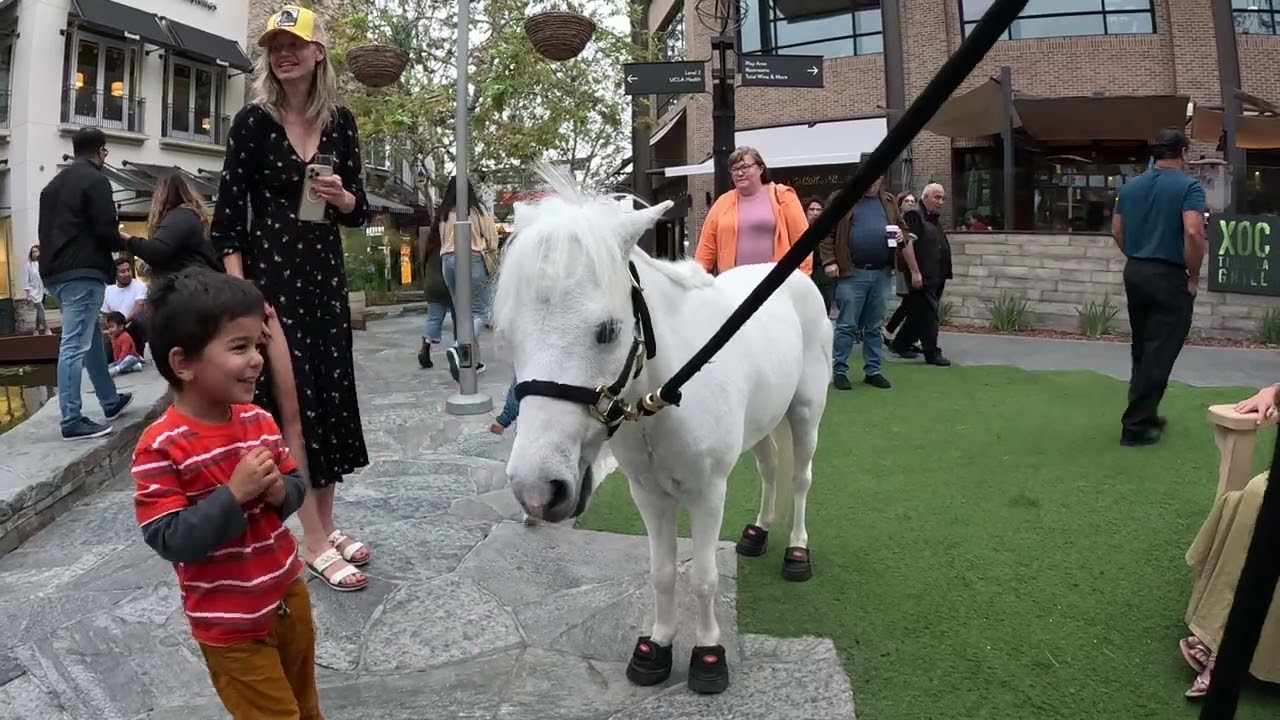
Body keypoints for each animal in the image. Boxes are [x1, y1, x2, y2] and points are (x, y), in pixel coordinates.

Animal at [491, 165, 832, 694]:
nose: (536, 489)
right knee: (771, 469)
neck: (665, 393)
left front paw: (709, 654)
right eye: (507, 334)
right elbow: (664, 572)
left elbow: (704, 577)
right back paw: (758, 532)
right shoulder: (648, 494)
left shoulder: (708, 492)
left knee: (799, 478)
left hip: (805, 411)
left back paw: (796, 550)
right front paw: (658, 645)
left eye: (608, 330)